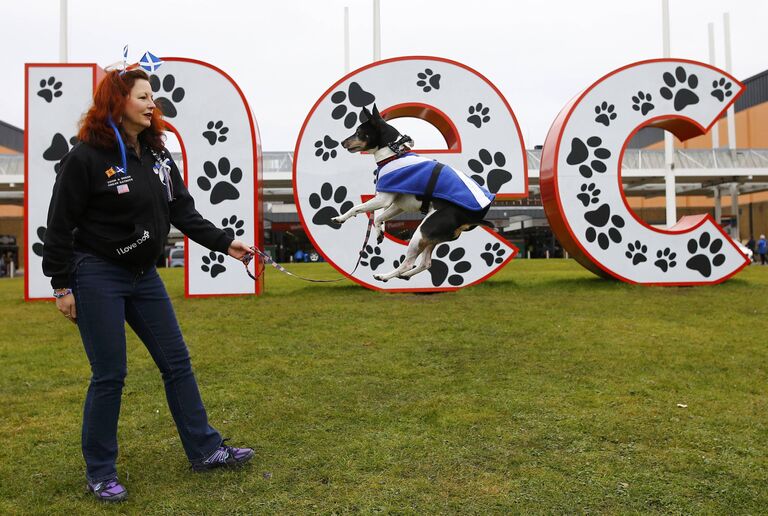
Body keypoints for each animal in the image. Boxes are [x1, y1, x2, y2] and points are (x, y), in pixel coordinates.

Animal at [332, 105, 496, 282]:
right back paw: (404, 276)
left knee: (408, 263)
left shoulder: (383, 199)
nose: (342, 142)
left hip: (422, 231)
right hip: (430, 237)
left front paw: (340, 218)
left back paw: (385, 276)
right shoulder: (398, 205)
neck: (393, 154)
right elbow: (378, 218)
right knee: (425, 263)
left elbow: (356, 208)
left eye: (359, 132)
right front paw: (379, 233)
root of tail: (471, 216)